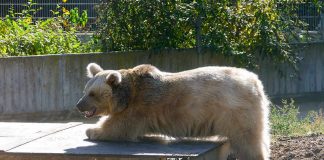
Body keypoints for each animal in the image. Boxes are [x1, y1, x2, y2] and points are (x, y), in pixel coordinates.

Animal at [76, 63, 270, 159]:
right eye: (85, 90)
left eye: (92, 94)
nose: (78, 105)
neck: (128, 92)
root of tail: (255, 82)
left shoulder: (138, 107)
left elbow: (118, 127)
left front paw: (92, 130)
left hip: (235, 111)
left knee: (248, 141)